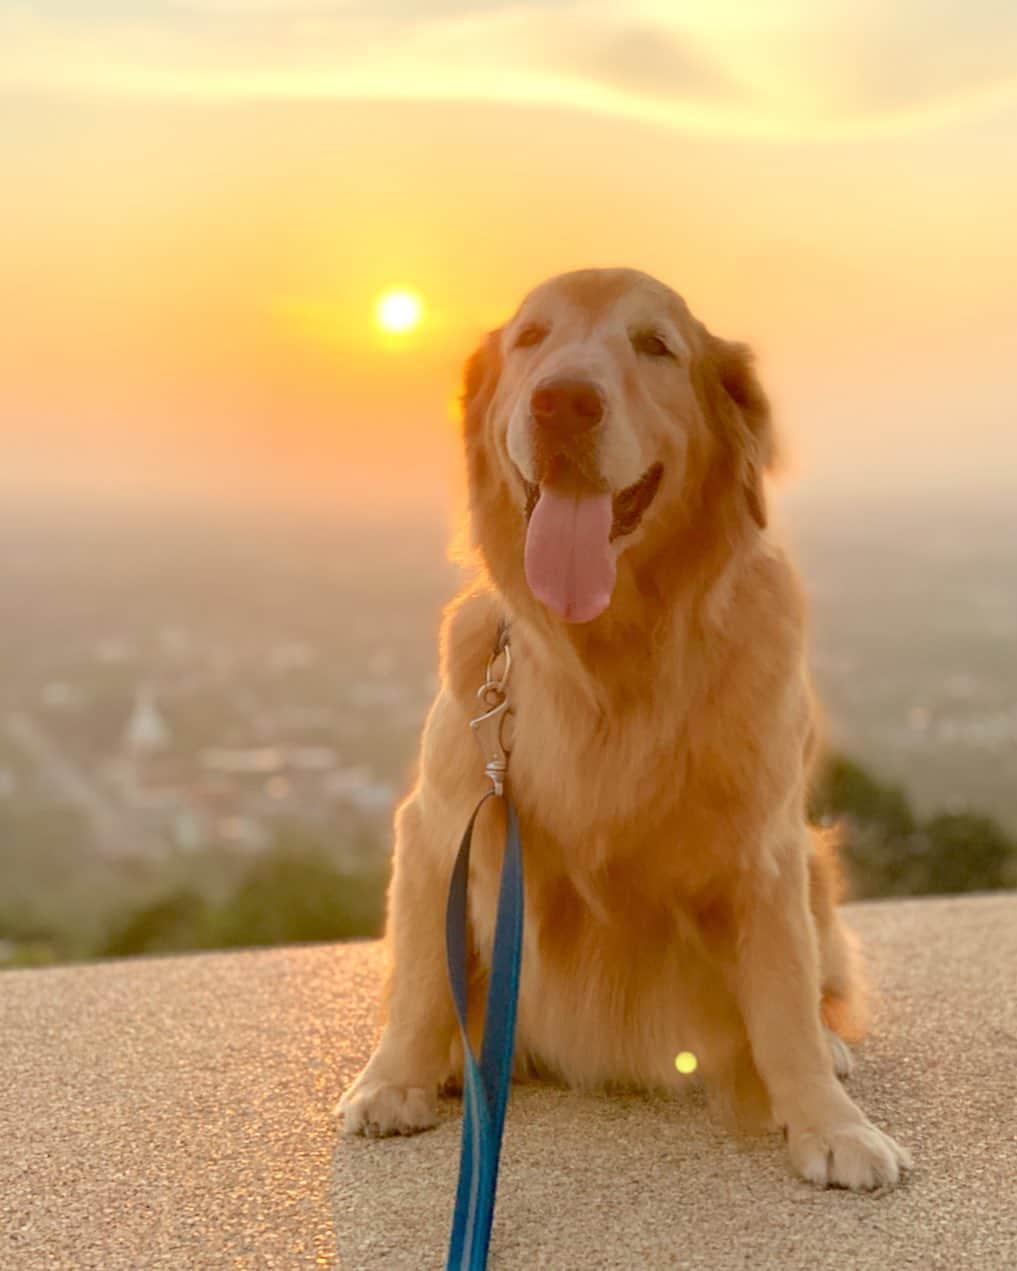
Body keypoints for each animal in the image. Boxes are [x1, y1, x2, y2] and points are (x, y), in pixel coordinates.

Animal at [340, 265, 915, 1189]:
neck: (610, 652)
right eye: (530, 337)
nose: (562, 402)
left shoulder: (765, 851)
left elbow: (784, 999)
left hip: (817, 867)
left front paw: (829, 1122)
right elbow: (425, 976)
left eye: (655, 346)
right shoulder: (439, 823)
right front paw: (394, 1079)